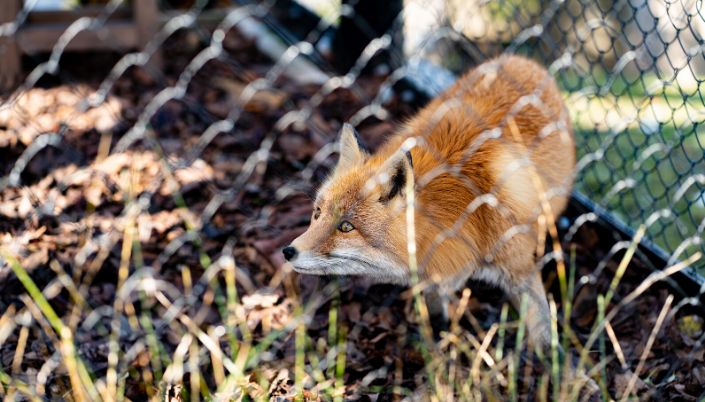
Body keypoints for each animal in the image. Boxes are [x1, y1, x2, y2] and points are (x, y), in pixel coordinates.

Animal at [284, 55, 576, 356]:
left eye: (346, 227)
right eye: (317, 213)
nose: (288, 252)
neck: (467, 213)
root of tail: (522, 60)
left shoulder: (519, 266)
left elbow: (542, 326)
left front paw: (551, 365)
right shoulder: (439, 271)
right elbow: (436, 312)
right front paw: (437, 341)